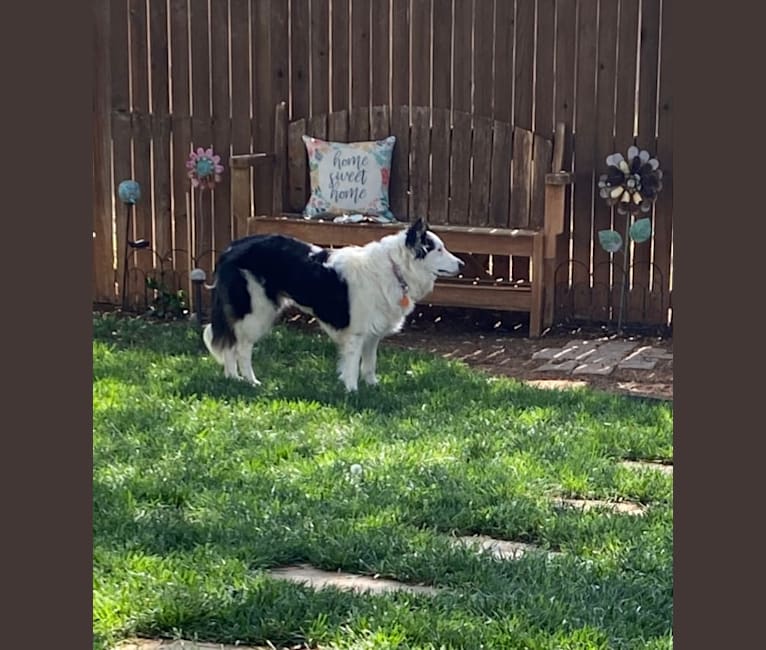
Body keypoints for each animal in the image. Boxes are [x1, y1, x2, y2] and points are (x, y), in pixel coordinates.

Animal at [202, 218, 462, 390]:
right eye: (438, 250)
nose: (461, 264)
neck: (395, 268)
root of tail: (229, 249)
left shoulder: (372, 334)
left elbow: (369, 364)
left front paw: (372, 386)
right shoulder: (356, 334)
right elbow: (352, 366)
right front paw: (352, 391)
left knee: (230, 345)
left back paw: (232, 378)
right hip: (257, 312)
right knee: (242, 348)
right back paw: (250, 381)